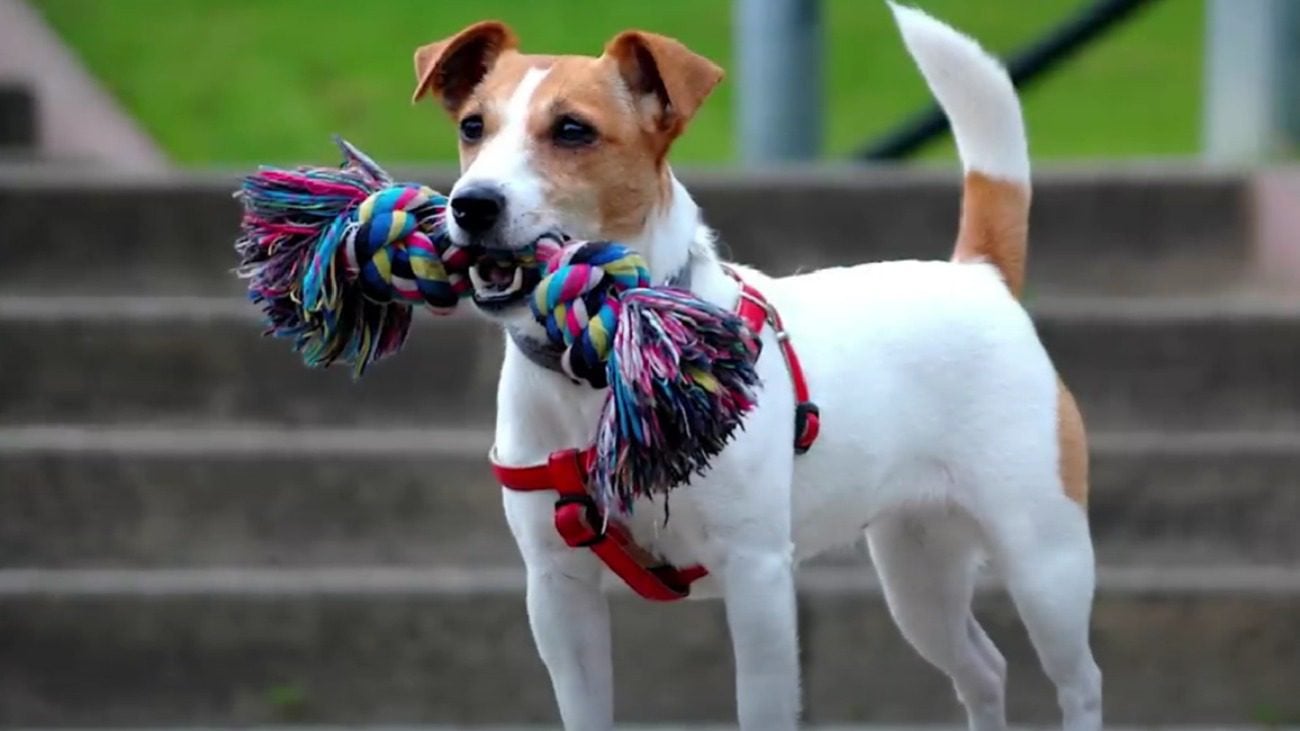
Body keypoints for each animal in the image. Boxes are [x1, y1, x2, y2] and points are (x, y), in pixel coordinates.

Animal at [413, 2, 1097, 723]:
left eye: (573, 130)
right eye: (472, 127)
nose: (472, 203)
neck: (608, 353)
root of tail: (978, 274)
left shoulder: (758, 576)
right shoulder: (557, 590)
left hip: (1044, 559)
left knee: (1077, 680)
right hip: (918, 567)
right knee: (983, 670)